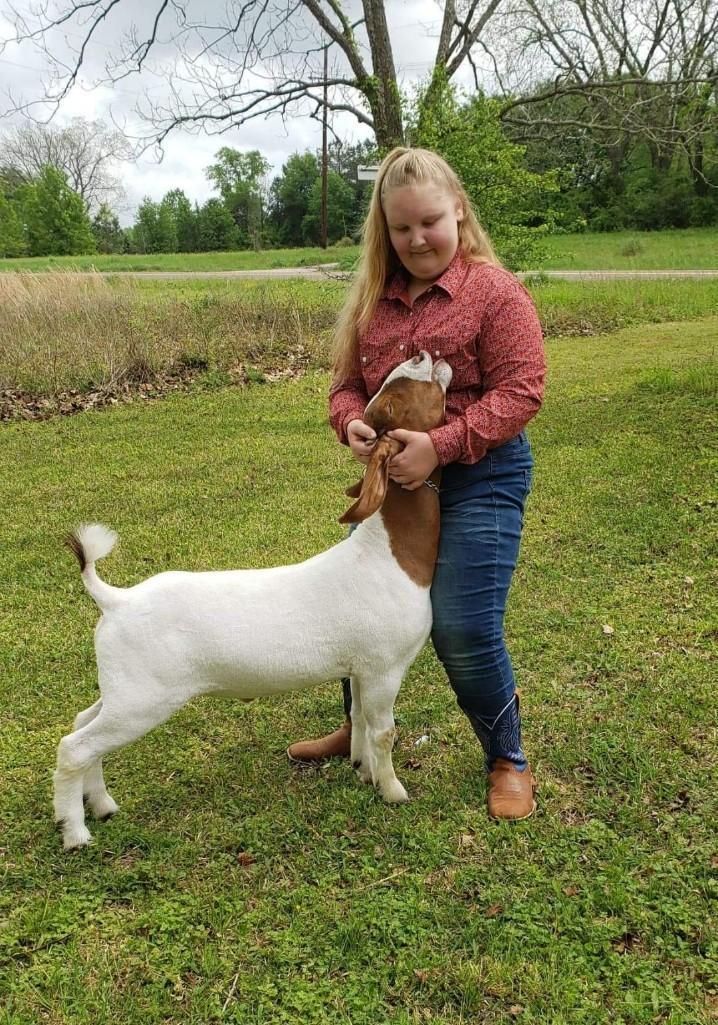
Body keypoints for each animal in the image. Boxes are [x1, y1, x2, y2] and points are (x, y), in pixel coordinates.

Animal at [56, 352, 451, 848]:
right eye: (395, 400)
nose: (423, 354)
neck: (388, 553)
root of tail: (115, 599)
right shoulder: (384, 666)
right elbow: (383, 731)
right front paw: (393, 790)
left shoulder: (360, 667)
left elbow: (358, 718)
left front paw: (362, 771)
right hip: (143, 698)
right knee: (75, 747)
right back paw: (75, 833)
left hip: (122, 687)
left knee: (81, 721)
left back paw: (103, 805)